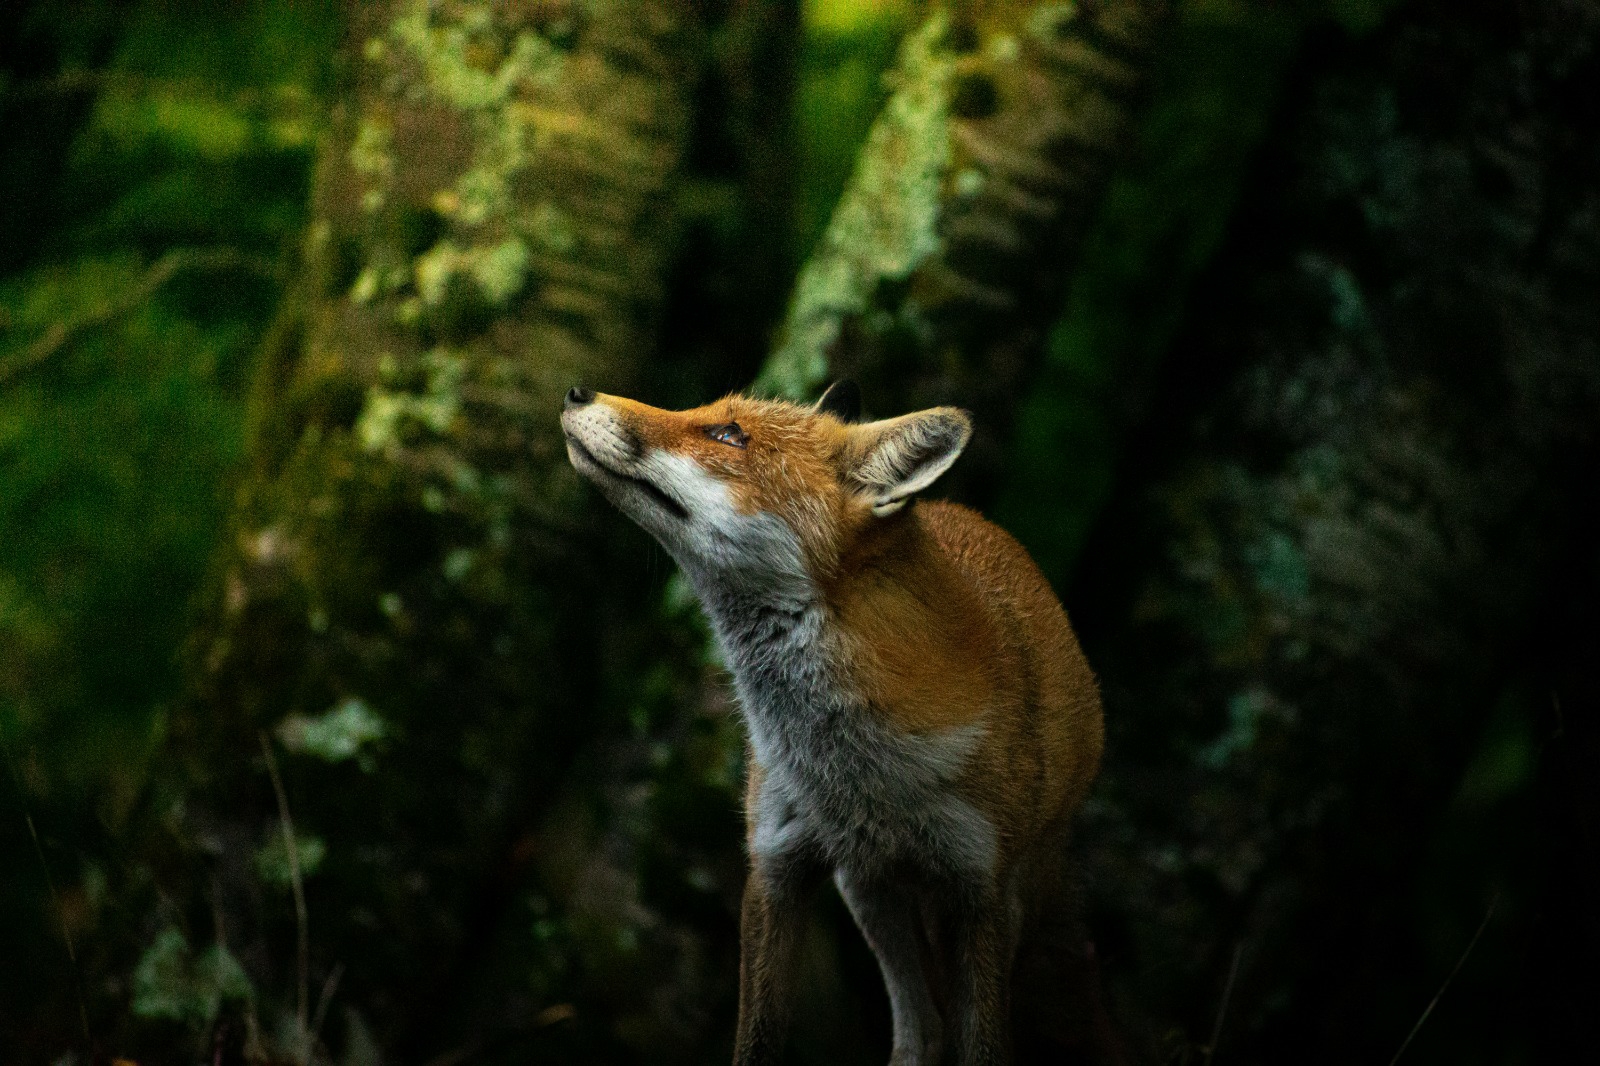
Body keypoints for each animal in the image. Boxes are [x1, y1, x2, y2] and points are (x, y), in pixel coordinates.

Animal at [560, 381, 1107, 1066]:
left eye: (729, 436)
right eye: (708, 415)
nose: (576, 391)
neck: (859, 776)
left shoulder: (982, 894)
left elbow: (983, 1046)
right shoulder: (775, 867)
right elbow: (757, 1040)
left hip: (1012, 899)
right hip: (871, 895)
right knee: (922, 1031)